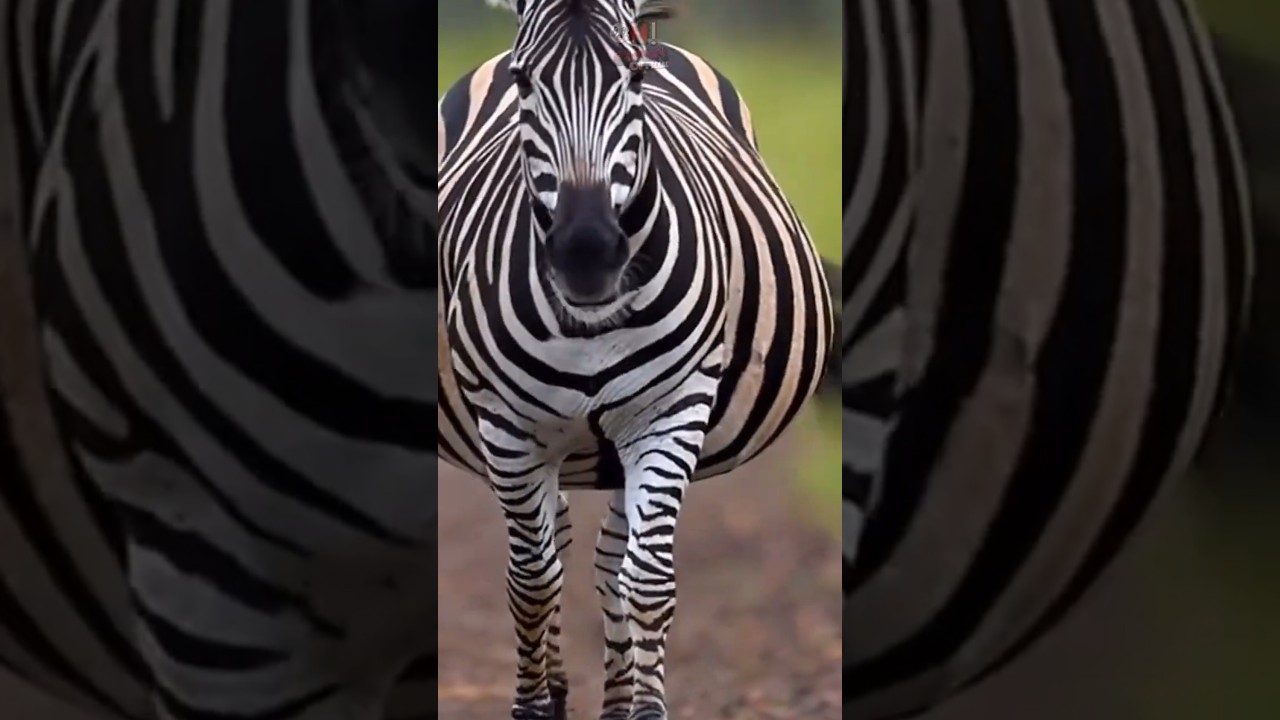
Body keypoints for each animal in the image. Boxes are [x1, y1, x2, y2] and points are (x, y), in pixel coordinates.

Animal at [437, 0, 833, 718]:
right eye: (524, 80)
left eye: (634, 78)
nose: (587, 252)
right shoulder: (508, 426)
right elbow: (531, 581)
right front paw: (534, 704)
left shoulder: (669, 411)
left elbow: (645, 579)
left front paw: (645, 707)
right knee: (559, 549)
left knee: (607, 560)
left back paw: (619, 699)